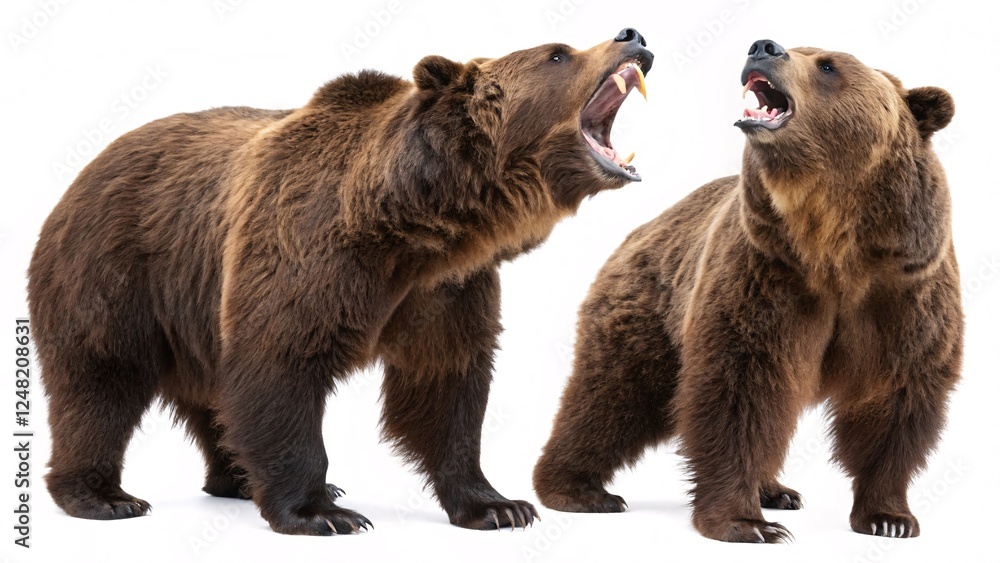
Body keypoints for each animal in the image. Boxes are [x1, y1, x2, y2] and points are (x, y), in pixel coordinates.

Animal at [27, 29, 653, 535]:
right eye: (558, 53)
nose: (633, 34)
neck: (413, 227)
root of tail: (83, 170)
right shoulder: (308, 255)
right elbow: (280, 366)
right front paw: (321, 513)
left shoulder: (447, 289)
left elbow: (447, 386)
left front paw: (498, 506)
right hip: (118, 267)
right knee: (100, 380)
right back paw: (104, 496)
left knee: (211, 395)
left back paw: (235, 478)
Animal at [533, 39, 961, 543]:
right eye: (799, 50)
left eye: (828, 65)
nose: (764, 47)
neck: (833, 244)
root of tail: (641, 228)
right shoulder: (766, 273)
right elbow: (740, 392)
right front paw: (747, 523)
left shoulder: (902, 289)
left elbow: (893, 397)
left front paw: (888, 518)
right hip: (647, 311)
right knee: (612, 395)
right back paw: (579, 488)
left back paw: (777, 490)